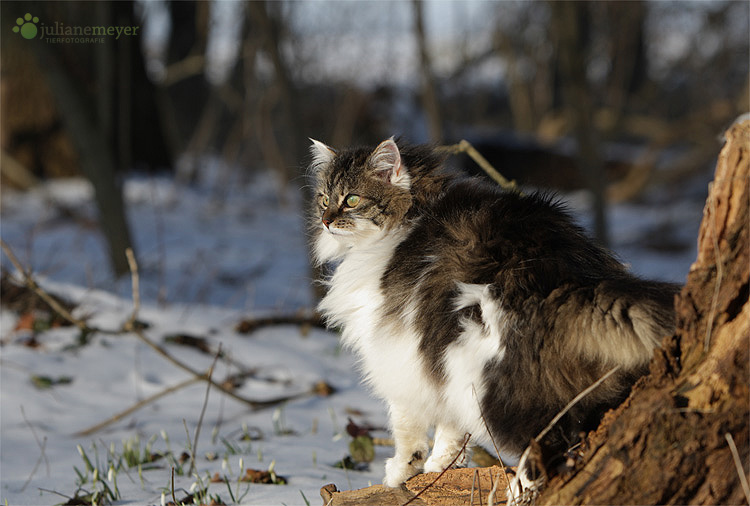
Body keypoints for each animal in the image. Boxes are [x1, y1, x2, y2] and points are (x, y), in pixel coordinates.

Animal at [308, 135, 680, 502]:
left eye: (352, 199)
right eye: (323, 197)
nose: (326, 220)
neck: (412, 214)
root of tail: (565, 278)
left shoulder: (397, 352)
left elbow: (406, 428)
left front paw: (401, 474)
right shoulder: (434, 358)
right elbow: (451, 430)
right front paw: (440, 469)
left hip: (491, 380)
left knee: (542, 442)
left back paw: (519, 492)